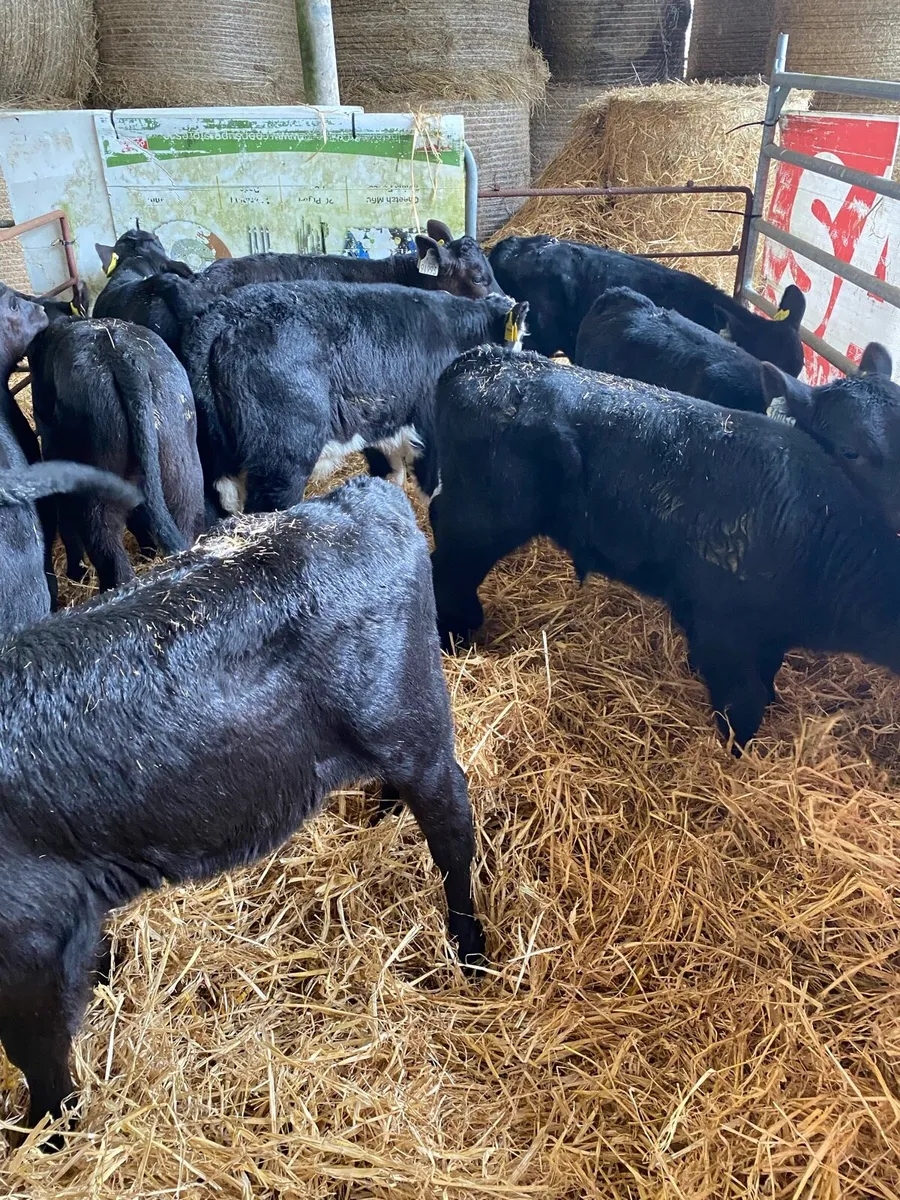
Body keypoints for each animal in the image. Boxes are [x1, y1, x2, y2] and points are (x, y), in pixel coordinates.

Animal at [0, 477, 485, 1142]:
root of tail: (361, 496)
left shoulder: (31, 947)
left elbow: (38, 1056)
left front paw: (49, 1135)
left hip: (413, 730)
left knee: (453, 830)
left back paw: (471, 949)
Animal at [157, 275, 528, 514]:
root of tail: (223, 316)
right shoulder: (430, 427)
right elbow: (430, 485)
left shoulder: (383, 421)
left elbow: (389, 471)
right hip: (282, 459)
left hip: (218, 458)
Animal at [429, 346, 900, 749]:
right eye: (852, 450)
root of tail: (483, 359)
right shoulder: (723, 629)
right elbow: (743, 701)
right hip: (479, 521)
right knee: (448, 569)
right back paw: (456, 634)